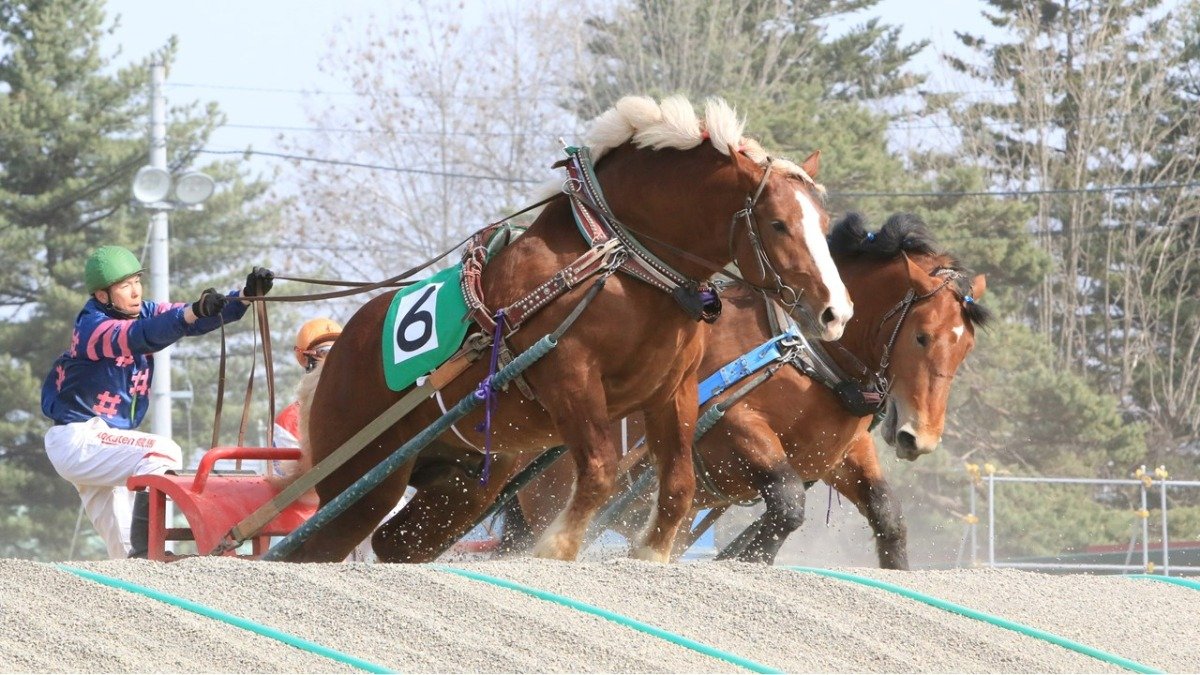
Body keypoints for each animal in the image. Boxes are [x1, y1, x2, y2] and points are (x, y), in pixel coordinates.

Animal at [288, 91, 854, 559]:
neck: (624, 268)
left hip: (465, 485)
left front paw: (649, 555)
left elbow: (677, 488)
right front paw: (556, 549)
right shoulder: (570, 379)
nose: (836, 313)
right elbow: (600, 473)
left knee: (395, 543)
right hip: (360, 483)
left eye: (824, 225)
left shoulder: (674, 392)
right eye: (778, 224)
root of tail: (334, 357)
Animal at [501, 212, 988, 564]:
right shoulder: (733, 428)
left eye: (965, 347)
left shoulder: (838, 453)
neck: (805, 352)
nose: (919, 437)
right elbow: (787, 503)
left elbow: (888, 515)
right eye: (922, 336)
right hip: (546, 500)